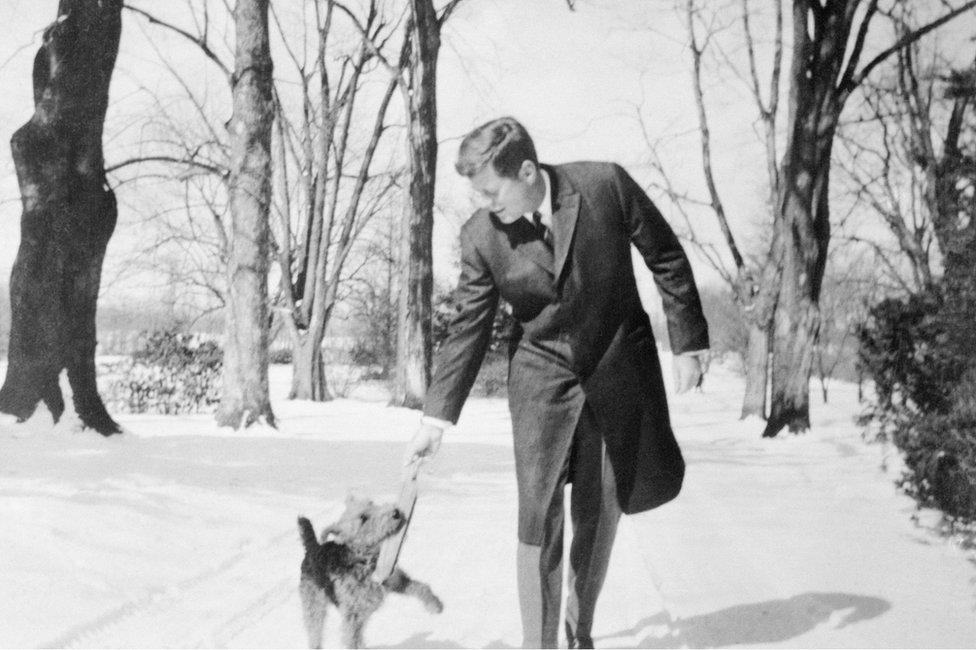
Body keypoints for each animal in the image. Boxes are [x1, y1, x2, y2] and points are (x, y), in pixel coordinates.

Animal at [300, 494, 444, 644]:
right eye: (363, 517)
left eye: (371, 503)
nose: (396, 512)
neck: (366, 562)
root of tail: (313, 547)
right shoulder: (353, 617)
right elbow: (353, 641)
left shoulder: (396, 581)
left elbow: (421, 587)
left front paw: (435, 605)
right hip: (314, 605)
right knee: (314, 633)